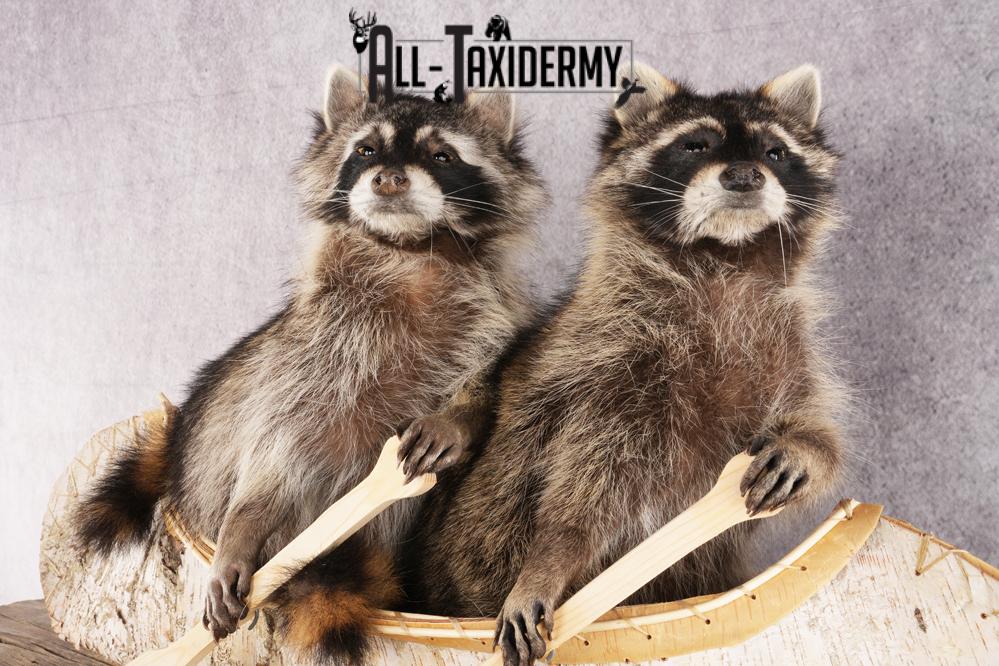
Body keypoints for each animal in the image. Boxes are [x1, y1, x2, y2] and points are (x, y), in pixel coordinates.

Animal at [72, 64, 545, 662]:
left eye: (442, 156)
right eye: (366, 150)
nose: (389, 179)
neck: (410, 251)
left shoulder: (494, 323)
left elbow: (490, 385)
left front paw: (455, 418)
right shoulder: (310, 354)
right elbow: (272, 448)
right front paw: (242, 527)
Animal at [405, 63, 847, 666]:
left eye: (775, 151)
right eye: (695, 144)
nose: (744, 176)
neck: (724, 258)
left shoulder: (786, 344)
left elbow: (813, 418)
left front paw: (807, 447)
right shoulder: (611, 362)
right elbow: (584, 486)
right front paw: (551, 558)